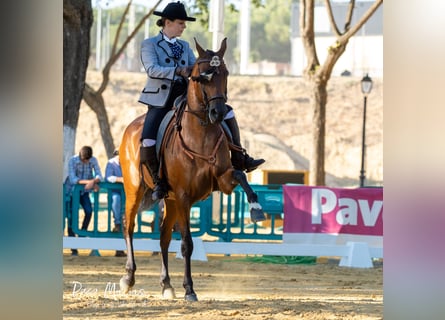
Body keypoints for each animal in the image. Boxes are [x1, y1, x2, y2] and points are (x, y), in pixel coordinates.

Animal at [117, 38, 264, 302]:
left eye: (225, 73)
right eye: (202, 76)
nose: (218, 112)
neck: (201, 133)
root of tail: (131, 128)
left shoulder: (222, 181)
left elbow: (239, 175)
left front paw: (256, 209)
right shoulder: (184, 196)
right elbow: (187, 244)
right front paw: (190, 289)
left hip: (170, 199)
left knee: (163, 237)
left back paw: (166, 285)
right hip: (135, 189)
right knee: (129, 226)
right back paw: (128, 278)